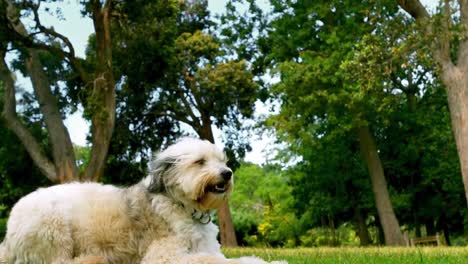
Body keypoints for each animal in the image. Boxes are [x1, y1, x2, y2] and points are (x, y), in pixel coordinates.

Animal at [0, 139, 286, 262]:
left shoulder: (207, 247)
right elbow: (215, 262)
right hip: (53, 230)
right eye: (200, 162)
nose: (227, 174)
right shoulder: (167, 255)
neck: (180, 204)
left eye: (222, 161)